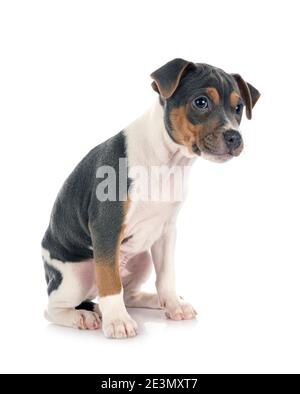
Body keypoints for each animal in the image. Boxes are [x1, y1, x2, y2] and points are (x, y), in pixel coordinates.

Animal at [42, 58, 260, 338]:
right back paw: (83, 316)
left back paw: (155, 300)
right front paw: (117, 321)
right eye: (201, 102)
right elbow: (109, 283)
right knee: (55, 307)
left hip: (141, 258)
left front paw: (173, 305)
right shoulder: (106, 226)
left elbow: (166, 275)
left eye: (238, 108)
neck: (167, 161)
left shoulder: (166, 231)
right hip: (76, 276)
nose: (235, 137)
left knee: (128, 293)